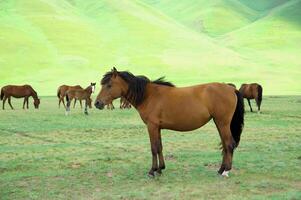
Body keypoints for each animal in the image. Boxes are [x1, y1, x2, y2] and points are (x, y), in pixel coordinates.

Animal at [94, 68, 244, 177]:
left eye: (109, 85)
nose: (97, 103)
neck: (148, 96)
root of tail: (231, 88)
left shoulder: (152, 126)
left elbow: (153, 148)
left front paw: (152, 171)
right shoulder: (158, 128)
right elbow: (159, 147)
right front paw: (161, 169)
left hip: (223, 123)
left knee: (229, 144)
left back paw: (226, 171)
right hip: (219, 123)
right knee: (225, 145)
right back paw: (220, 169)